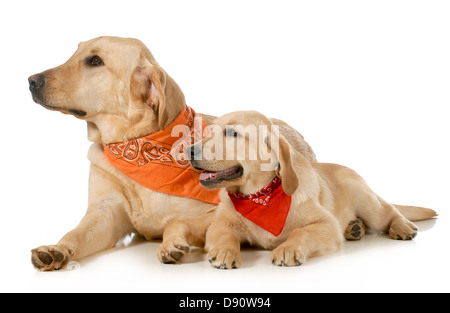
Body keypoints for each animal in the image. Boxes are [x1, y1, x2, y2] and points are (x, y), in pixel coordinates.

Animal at [28, 36, 316, 270]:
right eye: (75, 52)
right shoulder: (104, 213)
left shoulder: (215, 213)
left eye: (95, 61)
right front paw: (57, 249)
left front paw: (171, 244)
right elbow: (75, 234)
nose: (32, 80)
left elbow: (174, 223)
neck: (136, 145)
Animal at [190, 111, 436, 266]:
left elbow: (302, 231)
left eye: (232, 133)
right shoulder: (219, 225)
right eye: (209, 131)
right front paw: (225, 251)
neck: (260, 197)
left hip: (369, 202)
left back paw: (402, 226)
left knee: (389, 212)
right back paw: (354, 228)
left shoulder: (326, 225)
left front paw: (288, 249)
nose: (189, 150)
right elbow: (225, 235)